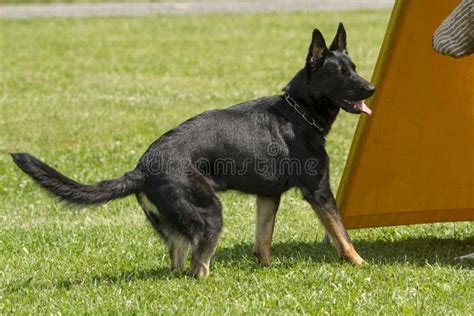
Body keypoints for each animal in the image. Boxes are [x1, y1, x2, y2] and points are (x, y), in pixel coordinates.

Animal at [11, 23, 374, 278]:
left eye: (354, 67)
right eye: (340, 73)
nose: (371, 88)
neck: (299, 110)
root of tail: (141, 169)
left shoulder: (268, 197)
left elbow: (263, 240)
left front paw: (266, 267)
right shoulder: (319, 192)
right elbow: (341, 234)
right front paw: (359, 263)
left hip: (180, 228)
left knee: (178, 264)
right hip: (211, 215)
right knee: (198, 269)